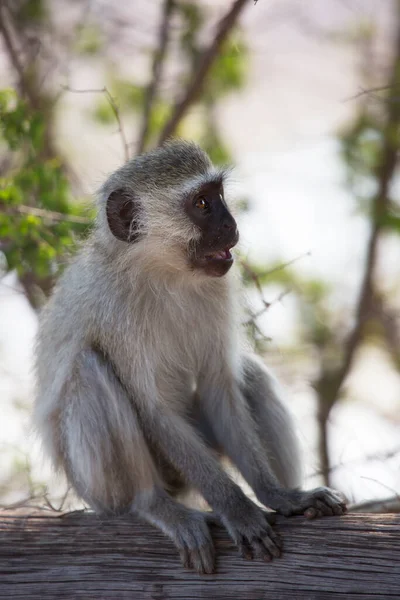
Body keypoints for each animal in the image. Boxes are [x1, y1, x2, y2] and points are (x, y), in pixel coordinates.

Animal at [35, 139, 346, 572]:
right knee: (90, 368)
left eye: (219, 195)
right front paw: (238, 510)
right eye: (202, 204)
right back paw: (154, 505)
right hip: (95, 488)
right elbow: (154, 411)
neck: (164, 273)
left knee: (248, 373)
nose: (231, 225)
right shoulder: (115, 312)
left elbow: (221, 387)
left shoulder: (220, 288)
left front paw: (278, 497)